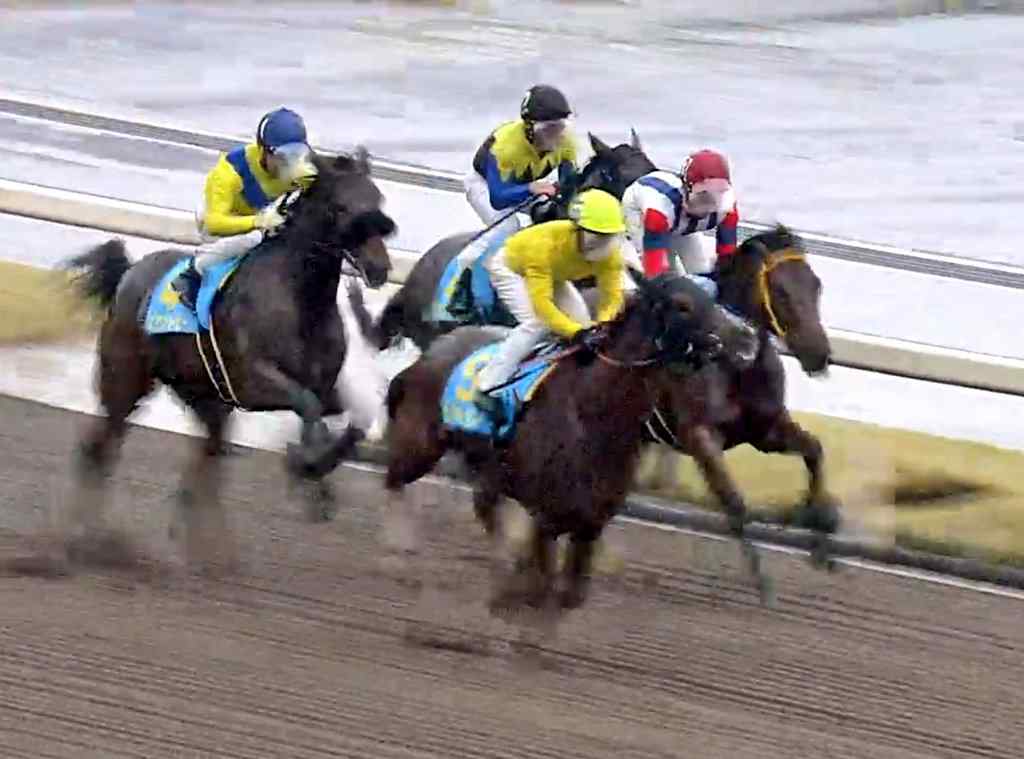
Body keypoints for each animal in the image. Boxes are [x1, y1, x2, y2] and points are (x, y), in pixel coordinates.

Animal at [65, 148, 395, 565]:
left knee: (204, 465)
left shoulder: (325, 388)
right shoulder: (255, 381)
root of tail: (128, 274)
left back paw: (202, 550)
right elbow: (307, 406)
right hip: (124, 383)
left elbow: (352, 422)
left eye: (378, 201)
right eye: (340, 208)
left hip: (206, 398)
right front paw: (305, 465)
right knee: (99, 449)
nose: (379, 268)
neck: (301, 303)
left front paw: (315, 473)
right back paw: (83, 538)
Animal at [380, 270, 765, 614]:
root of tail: (428, 355)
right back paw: (401, 554)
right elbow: (541, 590)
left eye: (713, 297)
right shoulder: (548, 517)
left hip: (488, 468)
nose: (746, 341)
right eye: (683, 305)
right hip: (421, 444)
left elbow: (568, 596)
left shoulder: (590, 522)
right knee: (394, 481)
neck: (593, 413)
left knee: (484, 505)